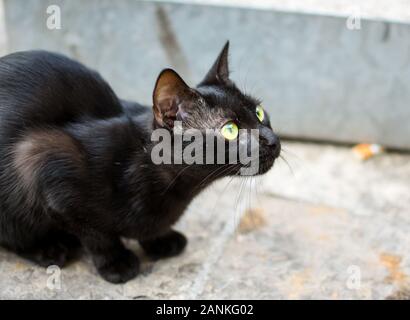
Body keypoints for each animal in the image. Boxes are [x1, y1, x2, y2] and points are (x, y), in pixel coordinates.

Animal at [0, 42, 278, 282]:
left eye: (259, 112)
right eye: (230, 130)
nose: (274, 140)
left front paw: (160, 240)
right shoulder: (44, 162)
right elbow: (97, 234)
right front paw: (117, 262)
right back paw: (49, 248)